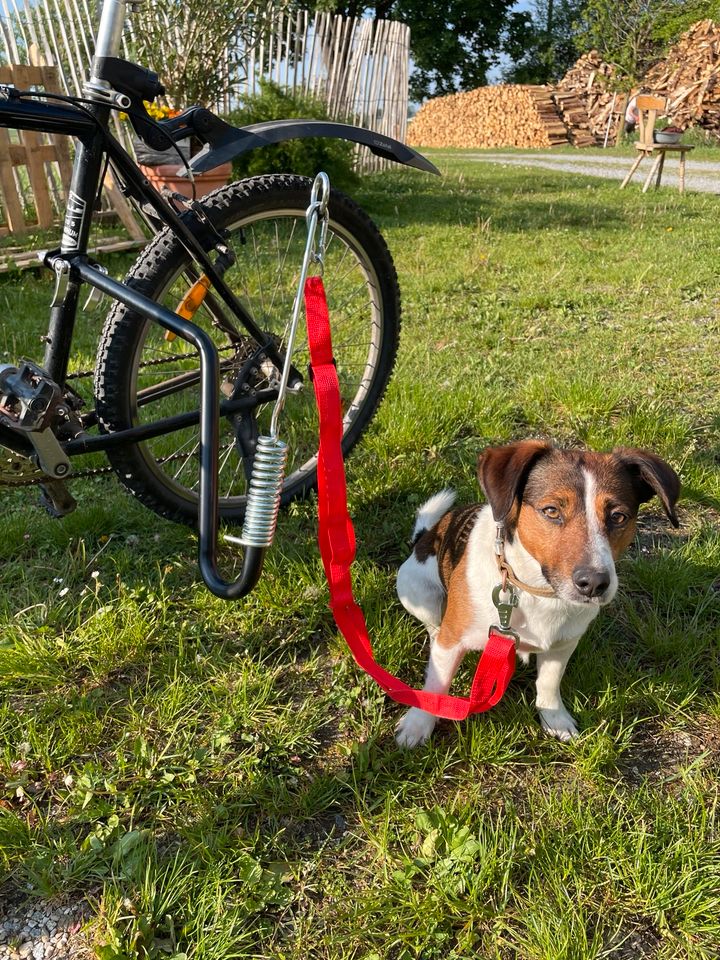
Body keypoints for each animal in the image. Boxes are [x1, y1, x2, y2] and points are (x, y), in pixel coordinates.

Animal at [396, 438, 676, 748]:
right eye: (551, 511)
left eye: (618, 516)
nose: (593, 583)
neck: (539, 591)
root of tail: (424, 536)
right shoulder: (452, 642)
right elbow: (437, 684)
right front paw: (418, 724)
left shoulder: (564, 644)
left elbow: (549, 683)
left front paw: (554, 718)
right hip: (414, 589)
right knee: (433, 624)